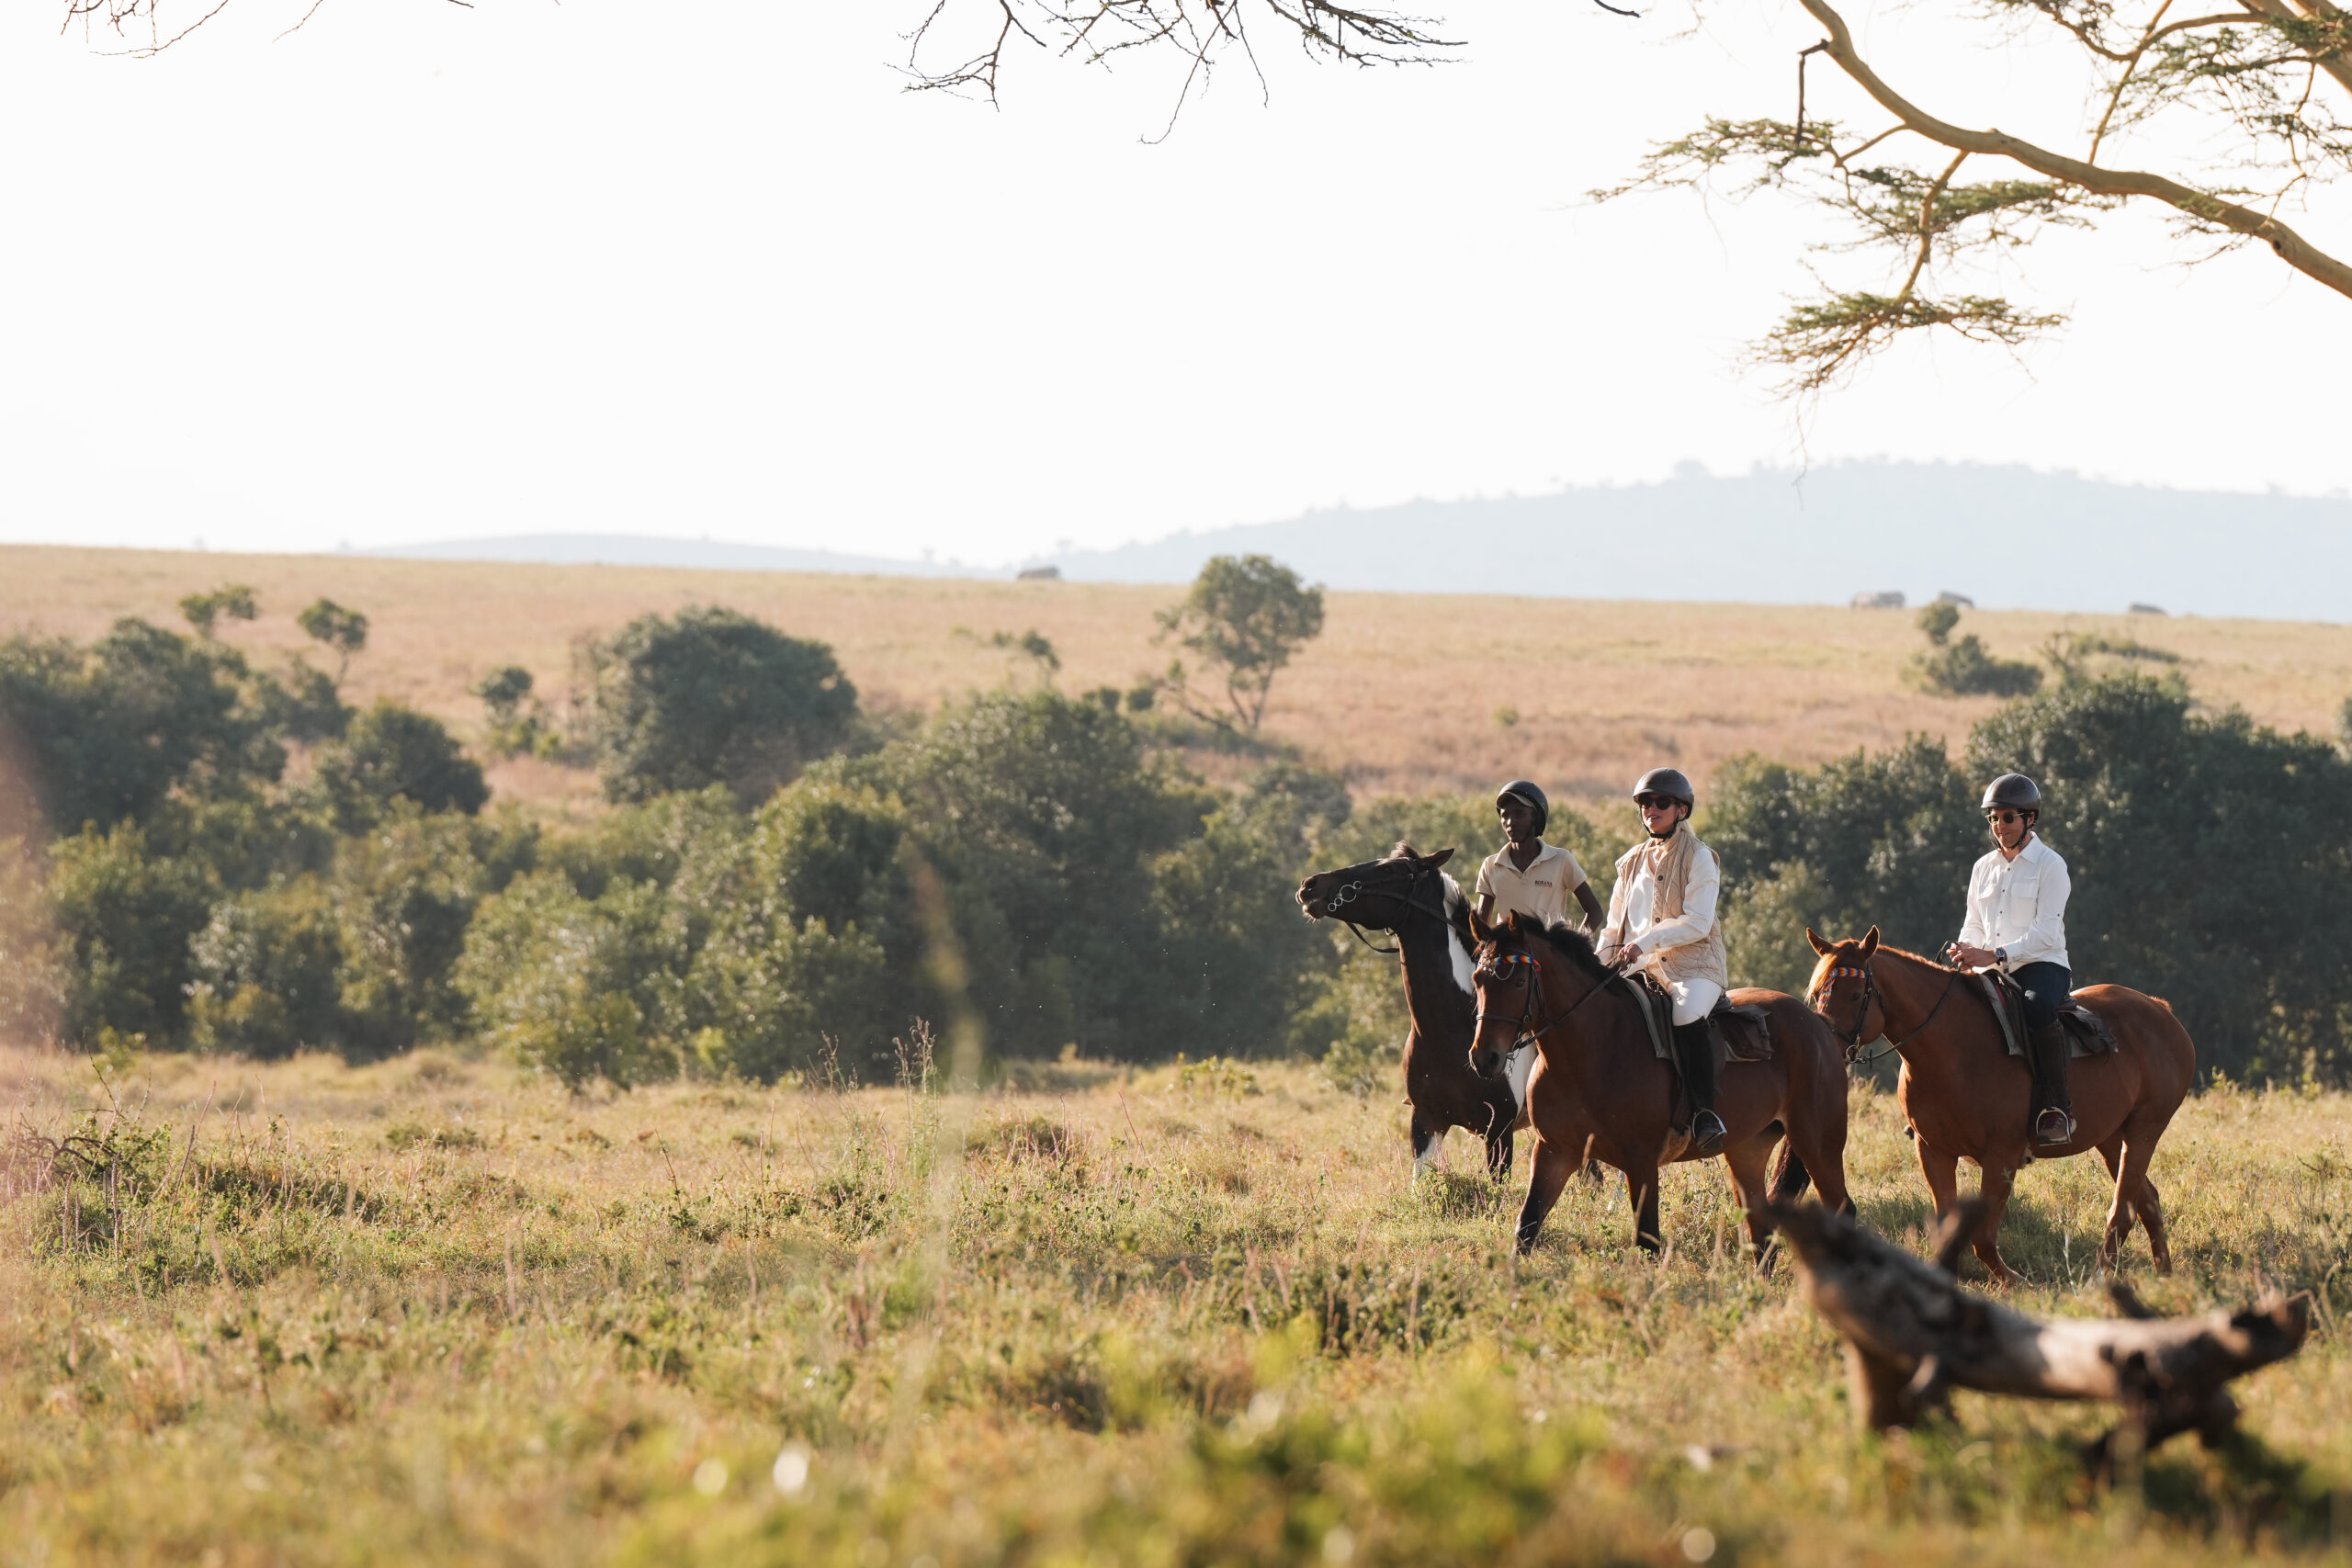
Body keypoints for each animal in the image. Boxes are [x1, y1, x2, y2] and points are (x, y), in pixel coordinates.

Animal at [1458, 921, 1844, 1259]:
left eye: (1519, 981)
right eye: (1478, 979)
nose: (1483, 1057)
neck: (1591, 1048)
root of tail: (1817, 1024)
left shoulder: (1641, 1163)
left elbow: (1648, 1242)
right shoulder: (1554, 1152)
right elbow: (1526, 1228)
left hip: (1818, 1148)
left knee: (1840, 1210)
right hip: (1747, 1151)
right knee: (1761, 1235)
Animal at [1806, 926, 2191, 1279]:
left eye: (1856, 994)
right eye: (1817, 993)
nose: (1826, 1045)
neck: (1952, 1052)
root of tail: (2162, 1010)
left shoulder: (2001, 1158)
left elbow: (1983, 1239)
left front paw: (2015, 1281)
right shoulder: (1934, 1152)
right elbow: (1947, 1230)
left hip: (2144, 1131)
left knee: (2123, 1210)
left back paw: (2100, 1279)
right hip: (2112, 1138)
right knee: (2148, 1201)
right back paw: (2165, 1275)